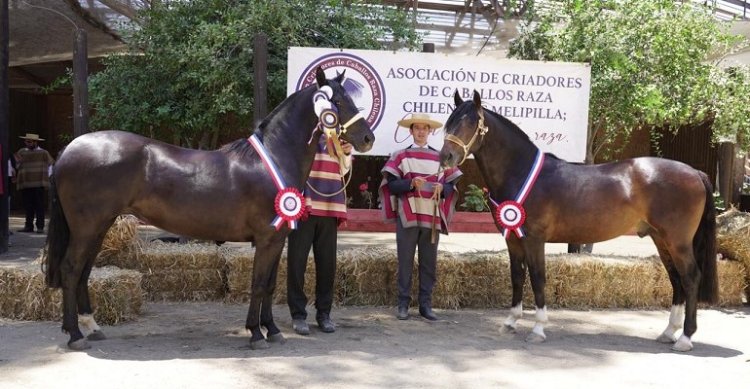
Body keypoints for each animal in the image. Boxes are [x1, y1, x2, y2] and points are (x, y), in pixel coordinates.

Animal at [45, 67, 374, 352]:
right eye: (338, 101)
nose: (367, 138)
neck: (274, 157)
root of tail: (68, 151)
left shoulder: (278, 239)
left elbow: (269, 286)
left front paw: (272, 330)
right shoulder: (266, 239)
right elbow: (258, 285)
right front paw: (256, 334)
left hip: (99, 226)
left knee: (84, 271)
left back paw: (91, 327)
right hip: (87, 228)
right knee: (71, 269)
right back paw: (75, 335)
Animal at [440, 91, 724, 352]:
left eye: (470, 123)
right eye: (450, 121)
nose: (446, 157)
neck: (520, 172)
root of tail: (695, 173)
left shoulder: (534, 240)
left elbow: (538, 278)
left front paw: (538, 329)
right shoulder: (513, 240)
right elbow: (517, 277)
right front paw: (510, 322)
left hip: (678, 242)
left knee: (690, 278)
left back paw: (685, 338)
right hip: (661, 239)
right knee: (676, 279)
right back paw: (668, 332)